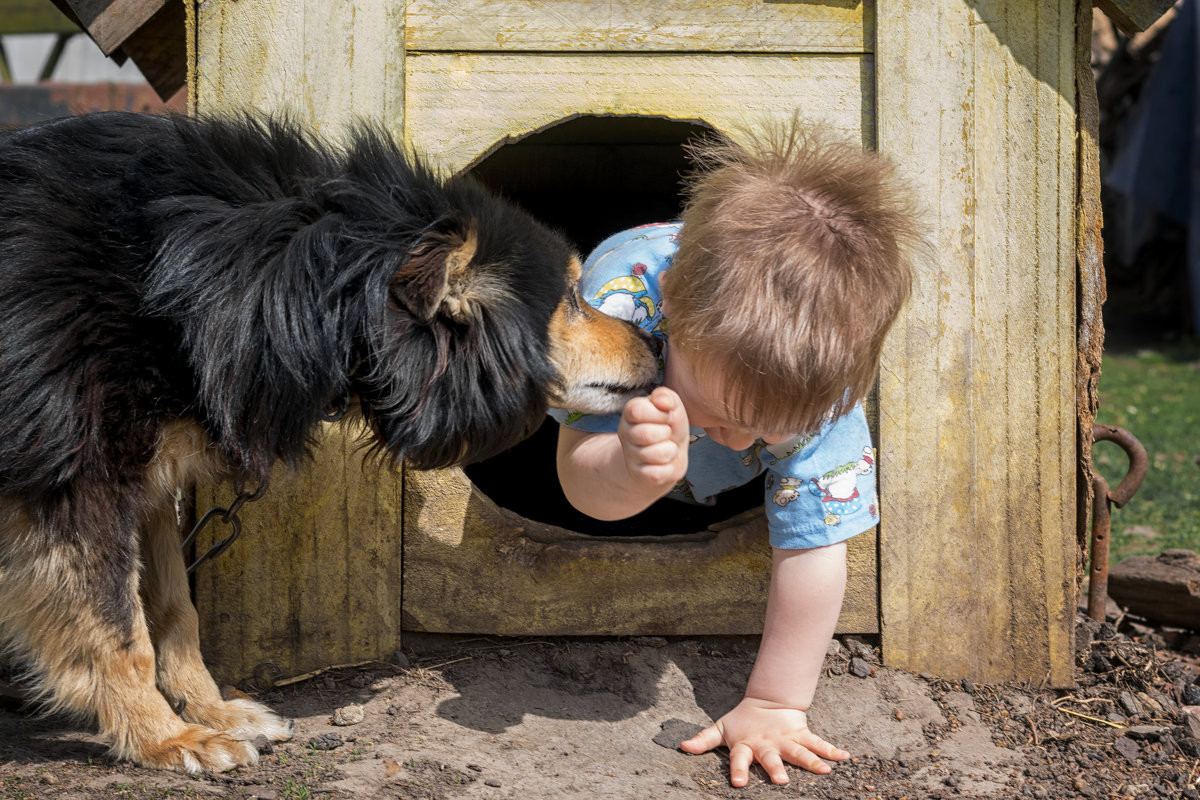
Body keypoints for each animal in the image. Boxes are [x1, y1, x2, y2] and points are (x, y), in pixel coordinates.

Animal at [0, 109, 657, 772]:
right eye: (569, 299)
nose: (656, 343)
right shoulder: (79, 480)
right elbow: (120, 629)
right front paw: (168, 739)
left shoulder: (152, 478)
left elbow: (173, 607)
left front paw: (211, 711)